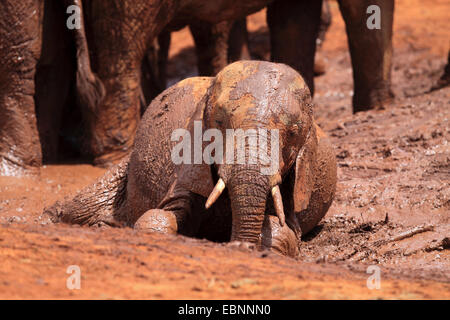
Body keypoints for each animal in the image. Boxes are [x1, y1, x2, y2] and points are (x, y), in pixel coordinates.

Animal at [45, 61, 338, 258]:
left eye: (293, 133)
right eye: (219, 123)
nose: (239, 246)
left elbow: (285, 230)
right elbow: (161, 215)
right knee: (75, 208)